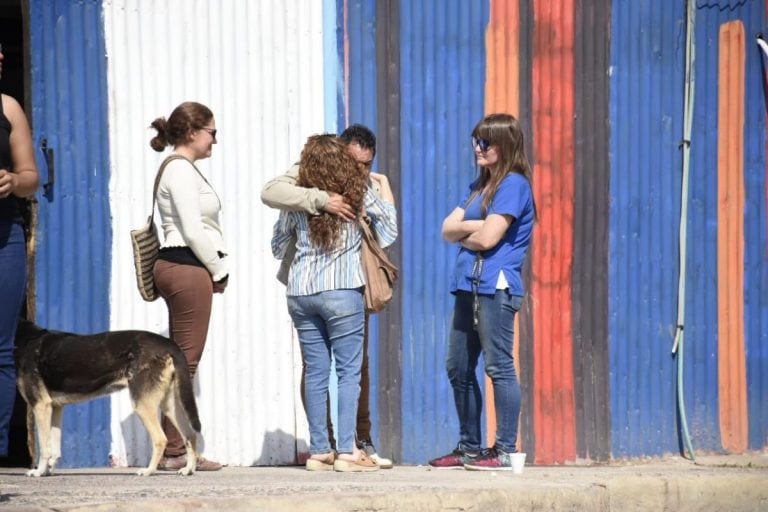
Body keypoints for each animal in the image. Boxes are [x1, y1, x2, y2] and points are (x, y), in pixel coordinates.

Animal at [15, 320, 201, 476]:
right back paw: (188, 469)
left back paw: (148, 471)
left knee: (161, 439)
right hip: (169, 405)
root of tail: (169, 343)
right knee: (190, 435)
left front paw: (38, 472)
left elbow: (44, 447)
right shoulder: (55, 407)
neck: (26, 338)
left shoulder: (40, 405)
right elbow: (54, 446)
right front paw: (48, 471)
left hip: (142, 404)